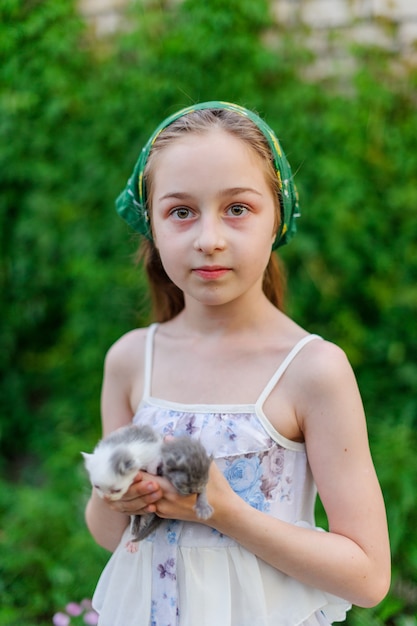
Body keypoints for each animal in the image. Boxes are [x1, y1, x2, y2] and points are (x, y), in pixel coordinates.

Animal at [81, 422, 213, 548]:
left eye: (117, 490)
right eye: (96, 487)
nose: (106, 498)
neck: (121, 447)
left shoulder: (155, 449)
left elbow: (155, 462)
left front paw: (153, 470)